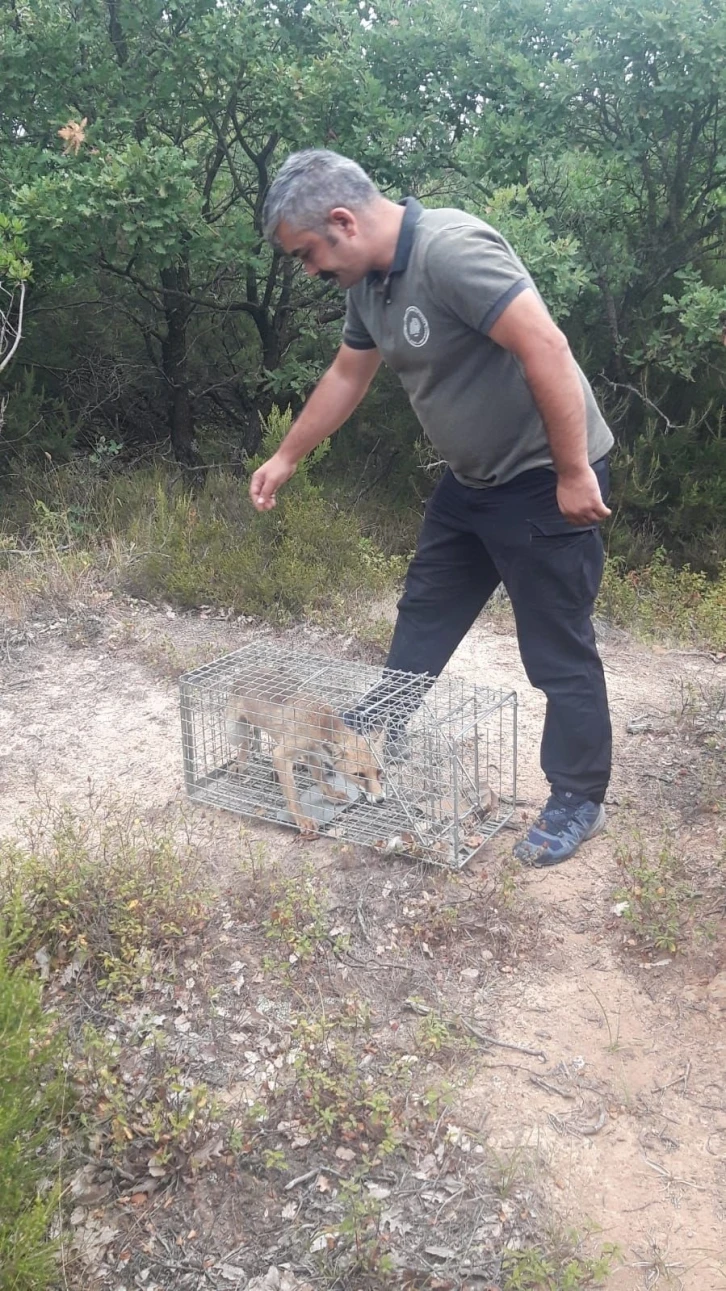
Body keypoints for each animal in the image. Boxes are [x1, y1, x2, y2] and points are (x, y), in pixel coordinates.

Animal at [224, 676, 384, 836]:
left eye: (379, 771)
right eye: (359, 775)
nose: (381, 799)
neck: (319, 723)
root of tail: (243, 674)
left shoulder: (310, 752)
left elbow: (320, 778)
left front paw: (331, 795)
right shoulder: (280, 755)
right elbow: (293, 796)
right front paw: (301, 819)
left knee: (253, 735)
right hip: (233, 734)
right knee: (247, 739)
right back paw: (240, 764)